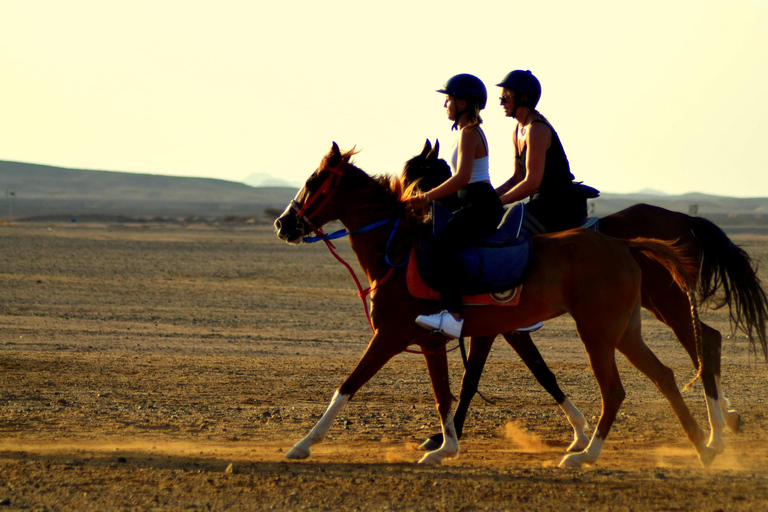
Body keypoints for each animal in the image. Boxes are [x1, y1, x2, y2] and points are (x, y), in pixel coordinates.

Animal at [272, 141, 716, 468]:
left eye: (313, 181)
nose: (282, 223)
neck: (399, 252)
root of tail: (623, 244)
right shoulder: (434, 342)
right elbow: (447, 393)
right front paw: (444, 447)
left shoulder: (390, 336)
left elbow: (347, 386)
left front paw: (302, 445)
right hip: (625, 331)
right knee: (665, 375)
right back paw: (704, 446)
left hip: (599, 333)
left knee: (620, 388)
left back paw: (589, 455)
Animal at [404, 138, 764, 454]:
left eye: (415, 174)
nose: (409, 202)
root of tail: (684, 218)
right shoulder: (508, 328)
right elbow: (540, 372)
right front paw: (579, 432)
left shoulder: (499, 327)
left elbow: (485, 378)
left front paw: (441, 437)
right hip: (659, 303)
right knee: (708, 339)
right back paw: (725, 421)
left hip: (668, 300)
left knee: (700, 342)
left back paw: (716, 433)